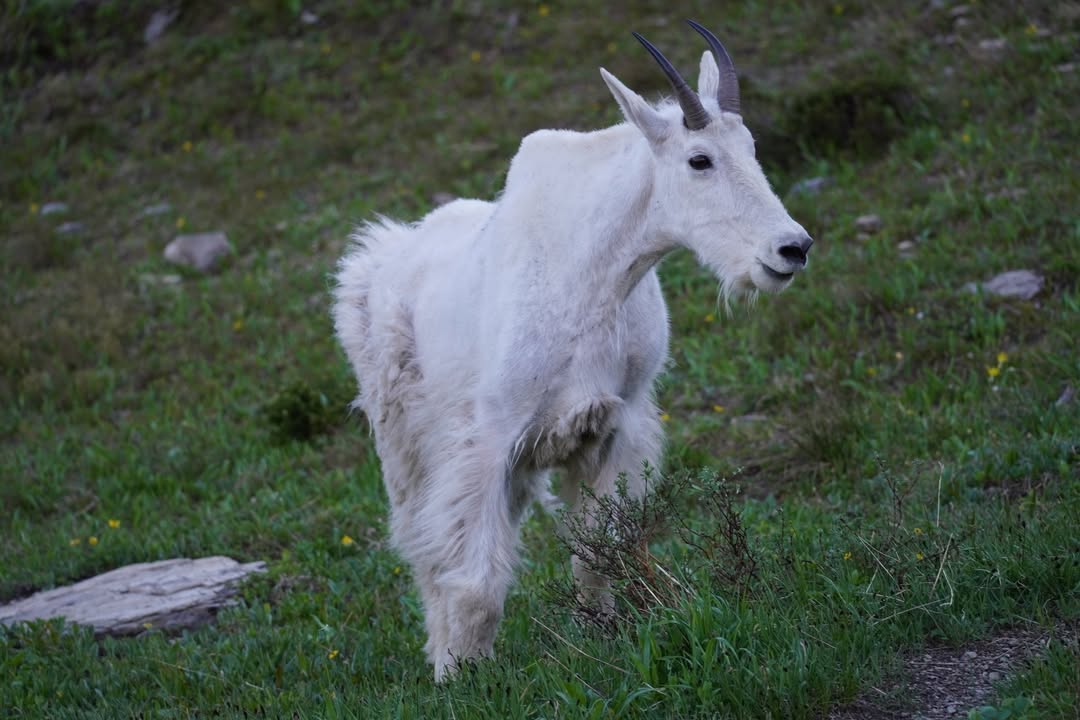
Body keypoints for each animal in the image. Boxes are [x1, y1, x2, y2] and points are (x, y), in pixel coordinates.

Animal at [332, 21, 812, 681]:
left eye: (752, 148)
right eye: (699, 159)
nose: (792, 249)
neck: (595, 274)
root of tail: (381, 260)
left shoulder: (616, 425)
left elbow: (598, 553)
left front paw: (601, 639)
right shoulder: (488, 439)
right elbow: (475, 581)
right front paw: (462, 678)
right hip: (400, 440)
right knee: (422, 547)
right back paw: (439, 653)